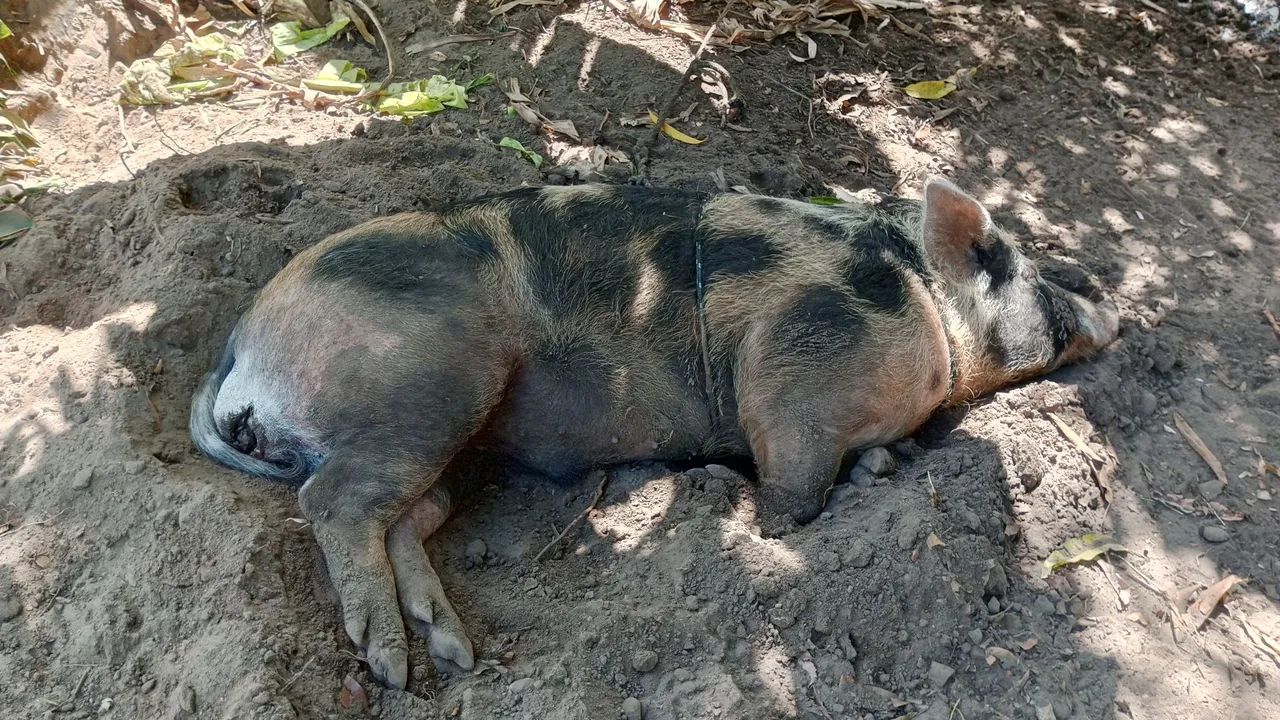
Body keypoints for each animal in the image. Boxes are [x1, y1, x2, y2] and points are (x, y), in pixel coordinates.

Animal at [189, 178, 1119, 687]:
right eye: (1031, 279)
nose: (1110, 303)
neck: (929, 319)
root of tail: (242, 342)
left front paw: (880, 466)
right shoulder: (796, 364)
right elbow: (793, 476)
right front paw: (775, 525)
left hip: (460, 440)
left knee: (403, 518)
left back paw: (451, 648)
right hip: (424, 377)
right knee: (332, 500)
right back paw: (390, 664)